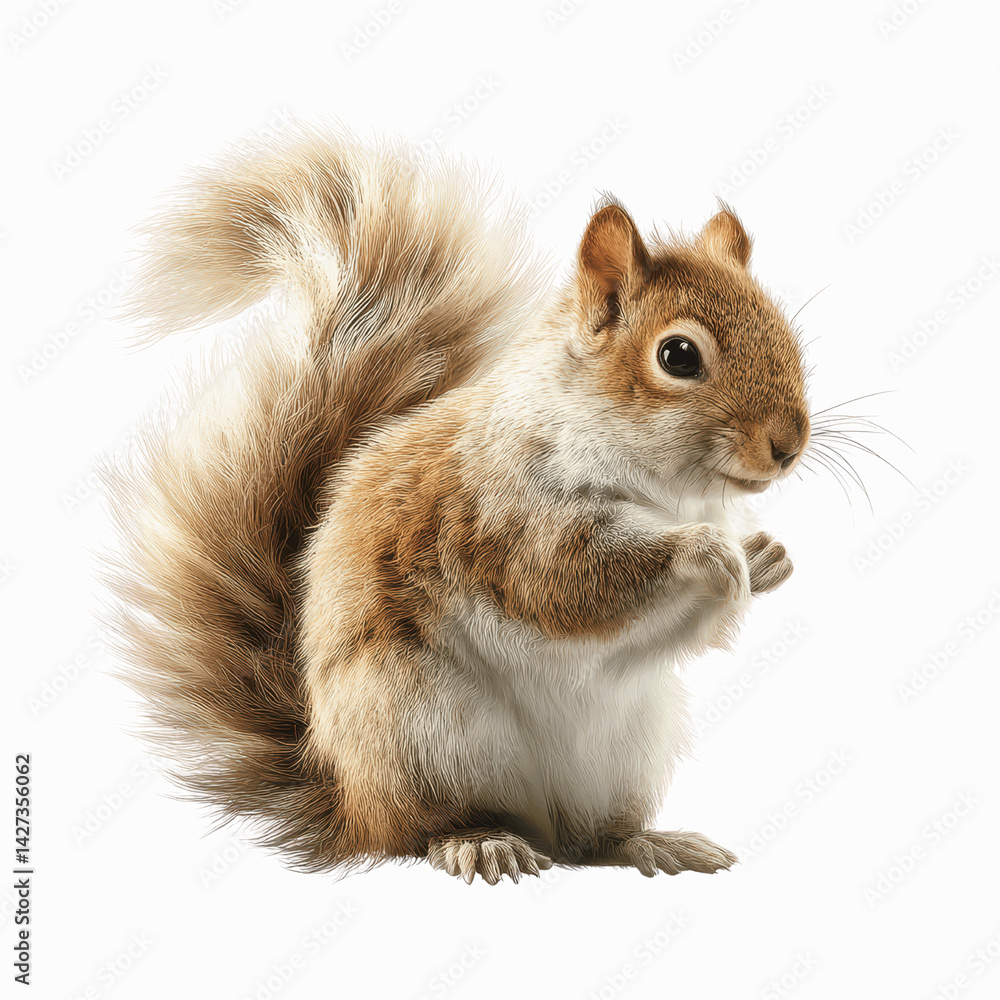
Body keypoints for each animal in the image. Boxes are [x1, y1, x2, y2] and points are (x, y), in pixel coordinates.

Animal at [102, 123, 810, 885]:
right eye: (678, 355)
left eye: (784, 331)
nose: (789, 445)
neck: (672, 493)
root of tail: (346, 794)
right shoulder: (504, 515)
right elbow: (566, 581)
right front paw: (705, 552)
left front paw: (765, 557)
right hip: (421, 729)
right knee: (419, 830)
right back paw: (478, 840)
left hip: (627, 747)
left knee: (589, 840)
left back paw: (647, 842)